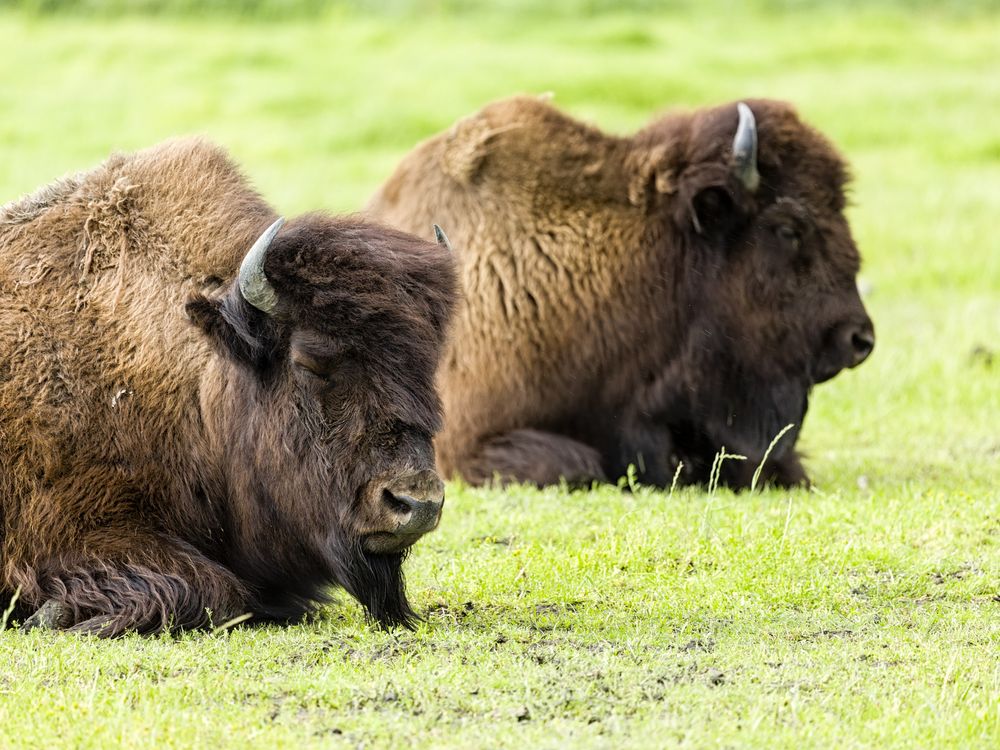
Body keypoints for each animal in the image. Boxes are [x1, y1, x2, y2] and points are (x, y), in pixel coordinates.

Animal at [0, 137, 458, 636]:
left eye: (427, 363)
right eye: (310, 360)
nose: (417, 502)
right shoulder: (68, 529)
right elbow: (216, 590)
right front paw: (55, 614)